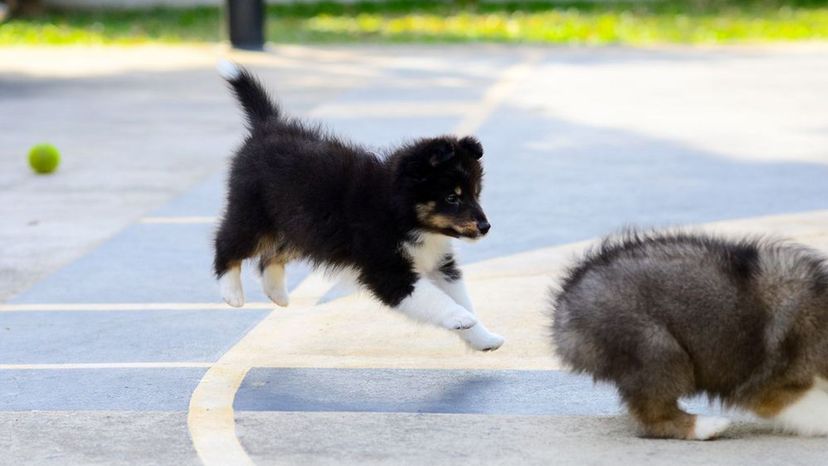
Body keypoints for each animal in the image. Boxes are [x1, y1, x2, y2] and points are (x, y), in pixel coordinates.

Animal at [213, 62, 502, 354]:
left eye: (476, 194)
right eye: (452, 198)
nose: (485, 227)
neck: (400, 213)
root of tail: (267, 127)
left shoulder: (439, 262)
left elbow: (461, 296)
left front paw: (485, 338)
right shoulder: (387, 268)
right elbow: (436, 299)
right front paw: (460, 317)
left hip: (299, 227)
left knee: (270, 257)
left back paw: (277, 294)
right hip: (254, 215)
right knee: (227, 242)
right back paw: (232, 293)